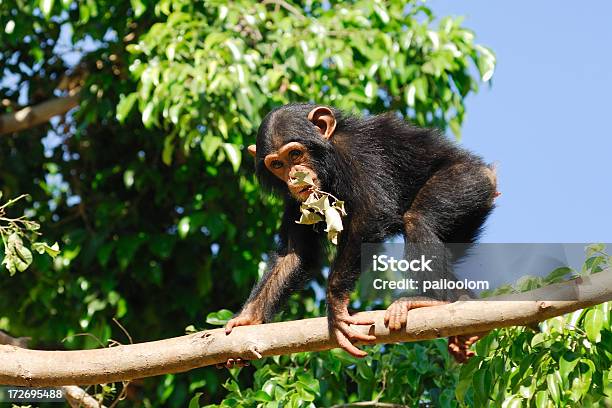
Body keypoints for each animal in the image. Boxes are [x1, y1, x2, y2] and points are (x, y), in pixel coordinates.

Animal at [224, 103, 498, 364]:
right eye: (277, 164)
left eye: (295, 153)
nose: (293, 176)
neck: (330, 159)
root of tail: (489, 174)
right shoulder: (296, 200)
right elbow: (295, 255)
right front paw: (248, 317)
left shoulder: (358, 154)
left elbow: (369, 216)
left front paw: (335, 305)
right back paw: (464, 306)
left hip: (466, 184)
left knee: (418, 220)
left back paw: (433, 300)